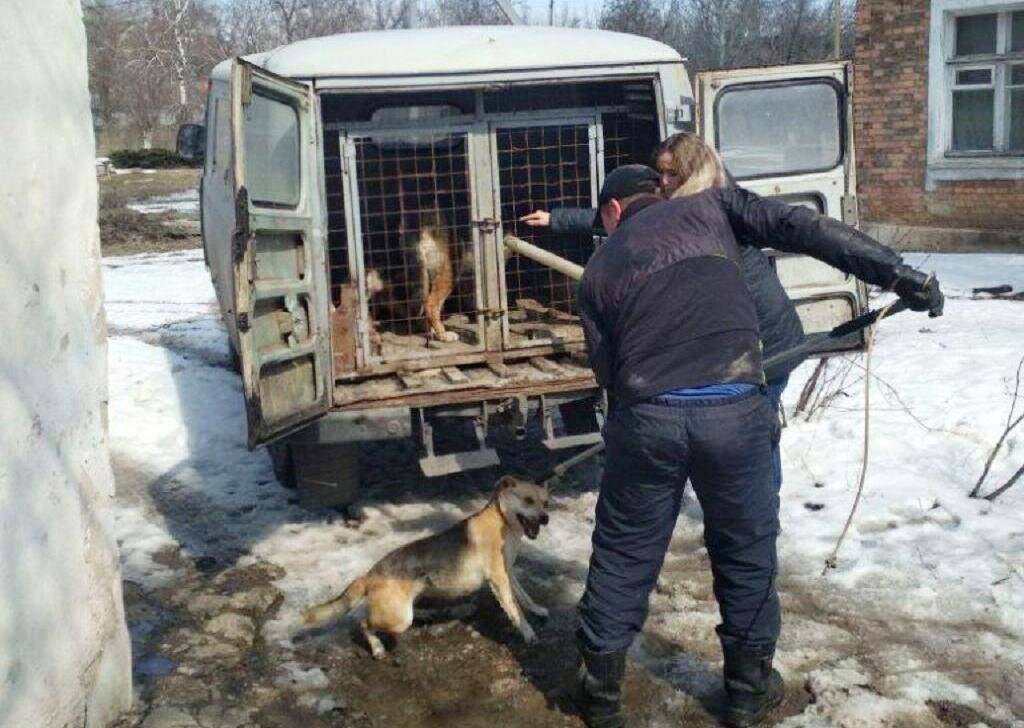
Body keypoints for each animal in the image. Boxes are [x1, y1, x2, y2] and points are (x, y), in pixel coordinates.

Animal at [299, 475, 548, 659]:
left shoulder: (508, 573)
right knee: (364, 623)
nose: (546, 518)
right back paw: (378, 648)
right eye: (528, 500)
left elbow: (525, 597)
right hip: (399, 619)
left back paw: (427, 613)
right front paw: (528, 633)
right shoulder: (499, 579)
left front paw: (537, 610)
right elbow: (515, 610)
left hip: (406, 605)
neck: (504, 523)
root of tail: (369, 575)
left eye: (545, 503)